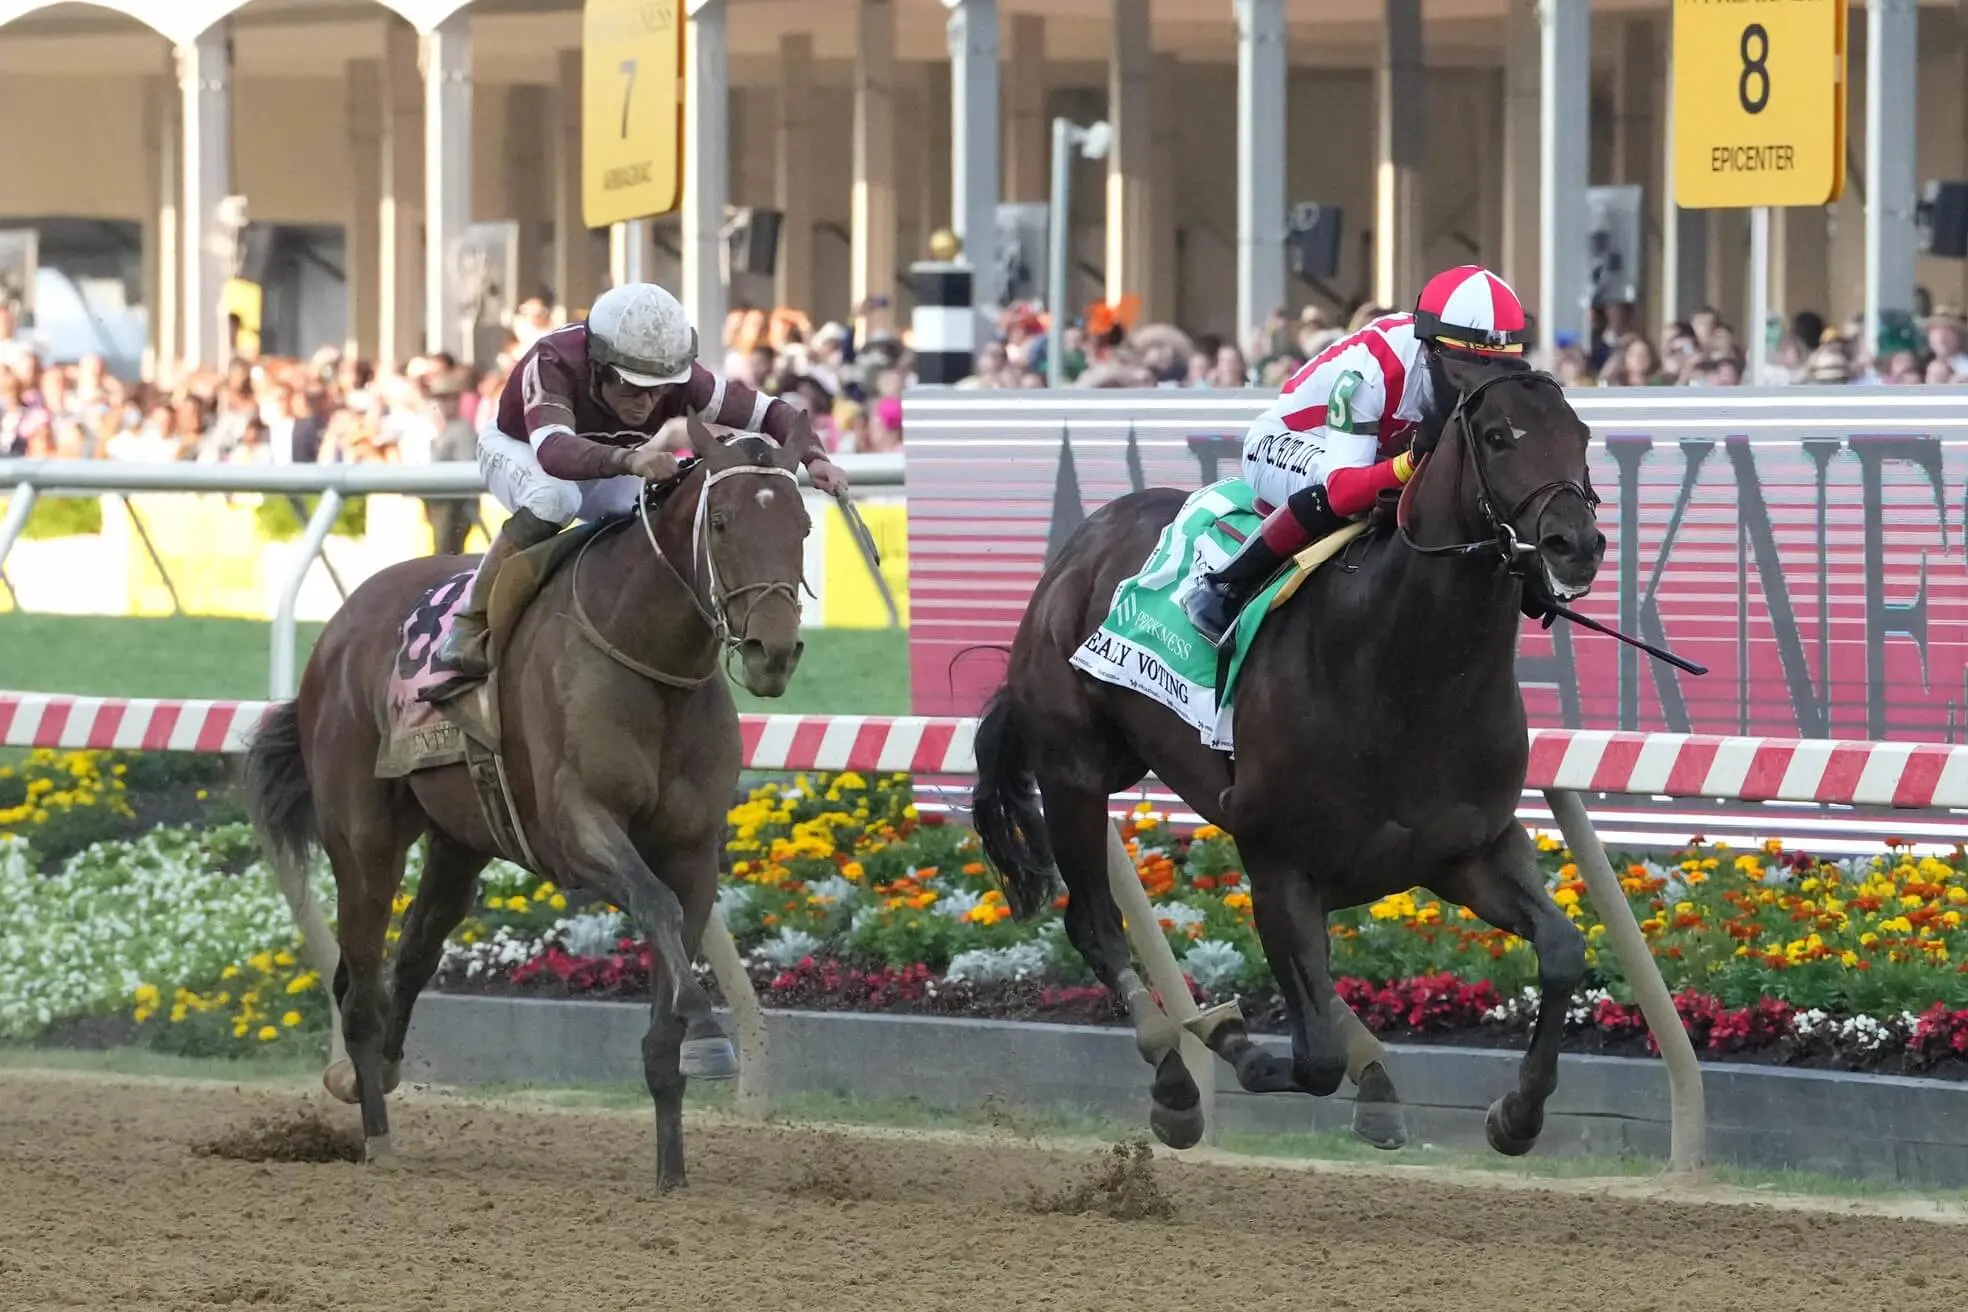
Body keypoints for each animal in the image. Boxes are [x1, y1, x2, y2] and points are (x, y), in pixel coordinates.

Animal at [242, 418, 810, 1188]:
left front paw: (673, 1165)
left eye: (804, 525)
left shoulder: (693, 848)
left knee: (412, 955)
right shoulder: (576, 829)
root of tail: (341, 624)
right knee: (359, 985)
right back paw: (377, 1134)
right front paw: (708, 1028)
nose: (771, 651)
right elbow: (655, 904)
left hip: (459, 843)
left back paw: (377, 1073)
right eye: (720, 522)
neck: (648, 660)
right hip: (363, 838)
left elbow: (671, 950)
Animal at [968, 354, 1598, 1156]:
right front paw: (1225, 1037)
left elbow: (1562, 950)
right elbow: (1312, 1057)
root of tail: (1082, 544)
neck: (1403, 673)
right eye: (1496, 435)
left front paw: (1516, 1116)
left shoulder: (1468, 851)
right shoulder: (1276, 864)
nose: (1576, 544)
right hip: (1072, 770)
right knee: (1095, 924)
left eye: (1582, 434)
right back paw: (1174, 1080)